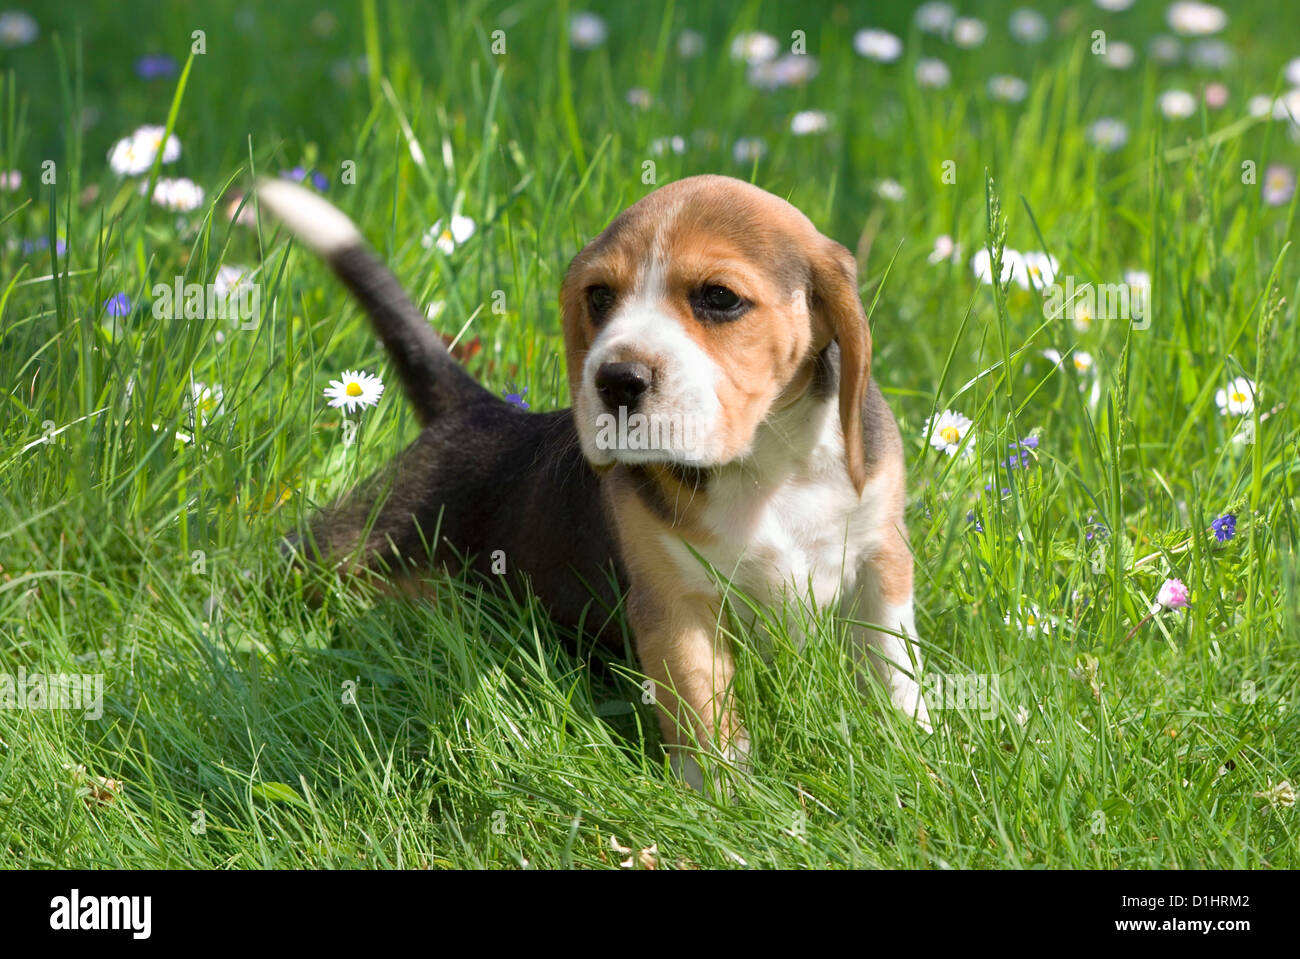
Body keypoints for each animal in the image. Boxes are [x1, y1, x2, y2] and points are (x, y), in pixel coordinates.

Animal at [256, 171, 925, 784]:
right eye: (600, 297)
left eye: (719, 298)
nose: (617, 380)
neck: (766, 467)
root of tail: (478, 410)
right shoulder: (673, 602)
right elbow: (703, 710)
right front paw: (725, 800)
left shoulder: (882, 558)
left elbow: (892, 664)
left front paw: (913, 751)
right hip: (345, 550)